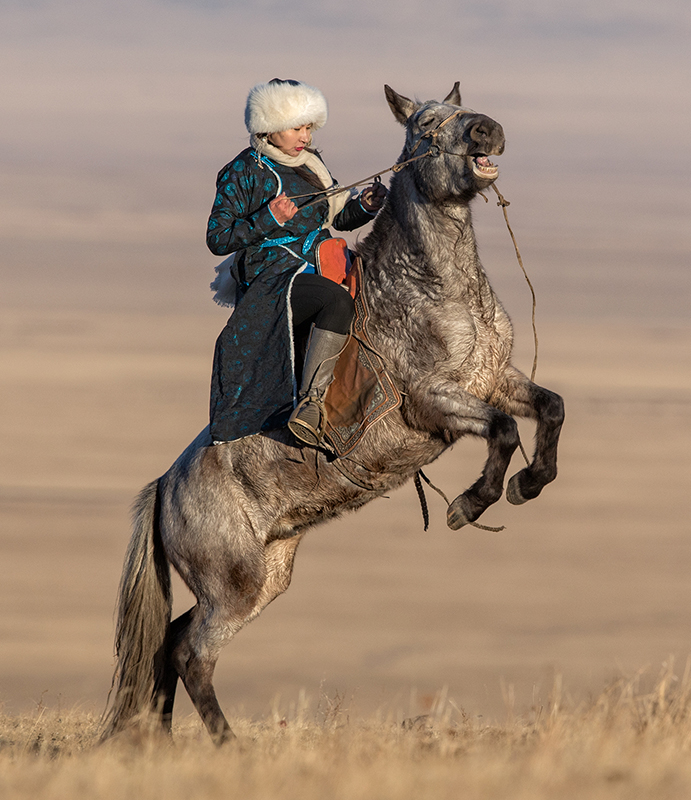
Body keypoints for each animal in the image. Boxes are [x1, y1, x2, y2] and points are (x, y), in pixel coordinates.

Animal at [102, 83, 565, 745]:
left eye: (463, 109)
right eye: (427, 126)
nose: (486, 131)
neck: (431, 286)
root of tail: (164, 486)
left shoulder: (498, 381)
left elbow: (550, 409)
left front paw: (530, 482)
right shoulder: (437, 401)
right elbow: (502, 432)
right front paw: (469, 504)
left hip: (265, 576)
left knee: (170, 642)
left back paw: (165, 742)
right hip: (233, 587)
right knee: (192, 653)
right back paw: (229, 745)